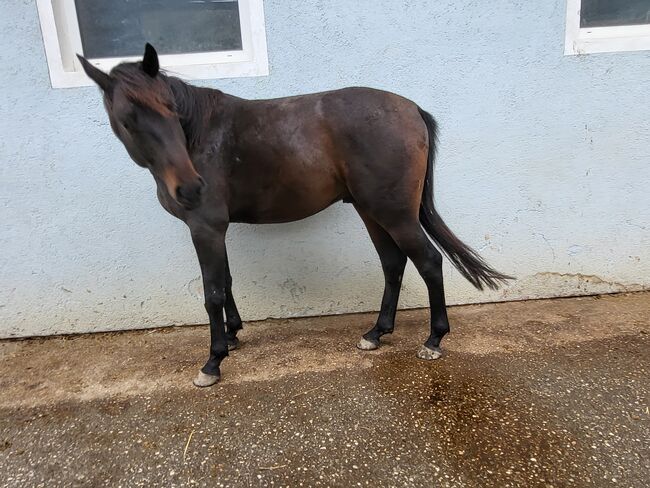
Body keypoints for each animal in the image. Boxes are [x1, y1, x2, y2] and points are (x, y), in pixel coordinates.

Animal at [77, 43, 512, 386]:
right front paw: (233, 336)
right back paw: (376, 332)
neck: (200, 136)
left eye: (170, 109)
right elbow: (227, 282)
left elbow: (212, 291)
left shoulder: (205, 227)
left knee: (428, 262)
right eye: (128, 119)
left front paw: (213, 360)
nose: (190, 188)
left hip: (395, 213)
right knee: (393, 263)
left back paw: (434, 340)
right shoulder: (217, 229)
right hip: (371, 211)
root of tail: (411, 109)